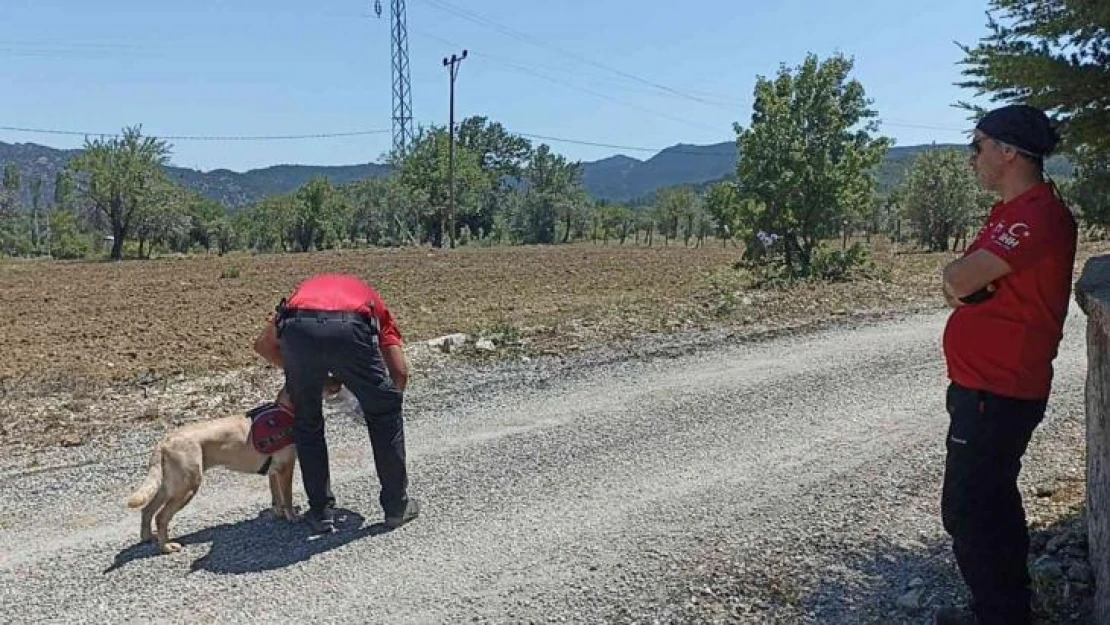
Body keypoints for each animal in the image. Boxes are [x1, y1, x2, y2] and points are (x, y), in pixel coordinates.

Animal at [124, 381, 335, 552]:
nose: (337, 385)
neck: (285, 409)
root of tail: (164, 442)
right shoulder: (285, 468)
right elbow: (288, 498)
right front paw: (292, 517)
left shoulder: (273, 472)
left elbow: (277, 498)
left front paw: (279, 514)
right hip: (187, 487)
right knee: (161, 517)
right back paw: (166, 547)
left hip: (169, 486)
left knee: (147, 510)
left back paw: (148, 537)